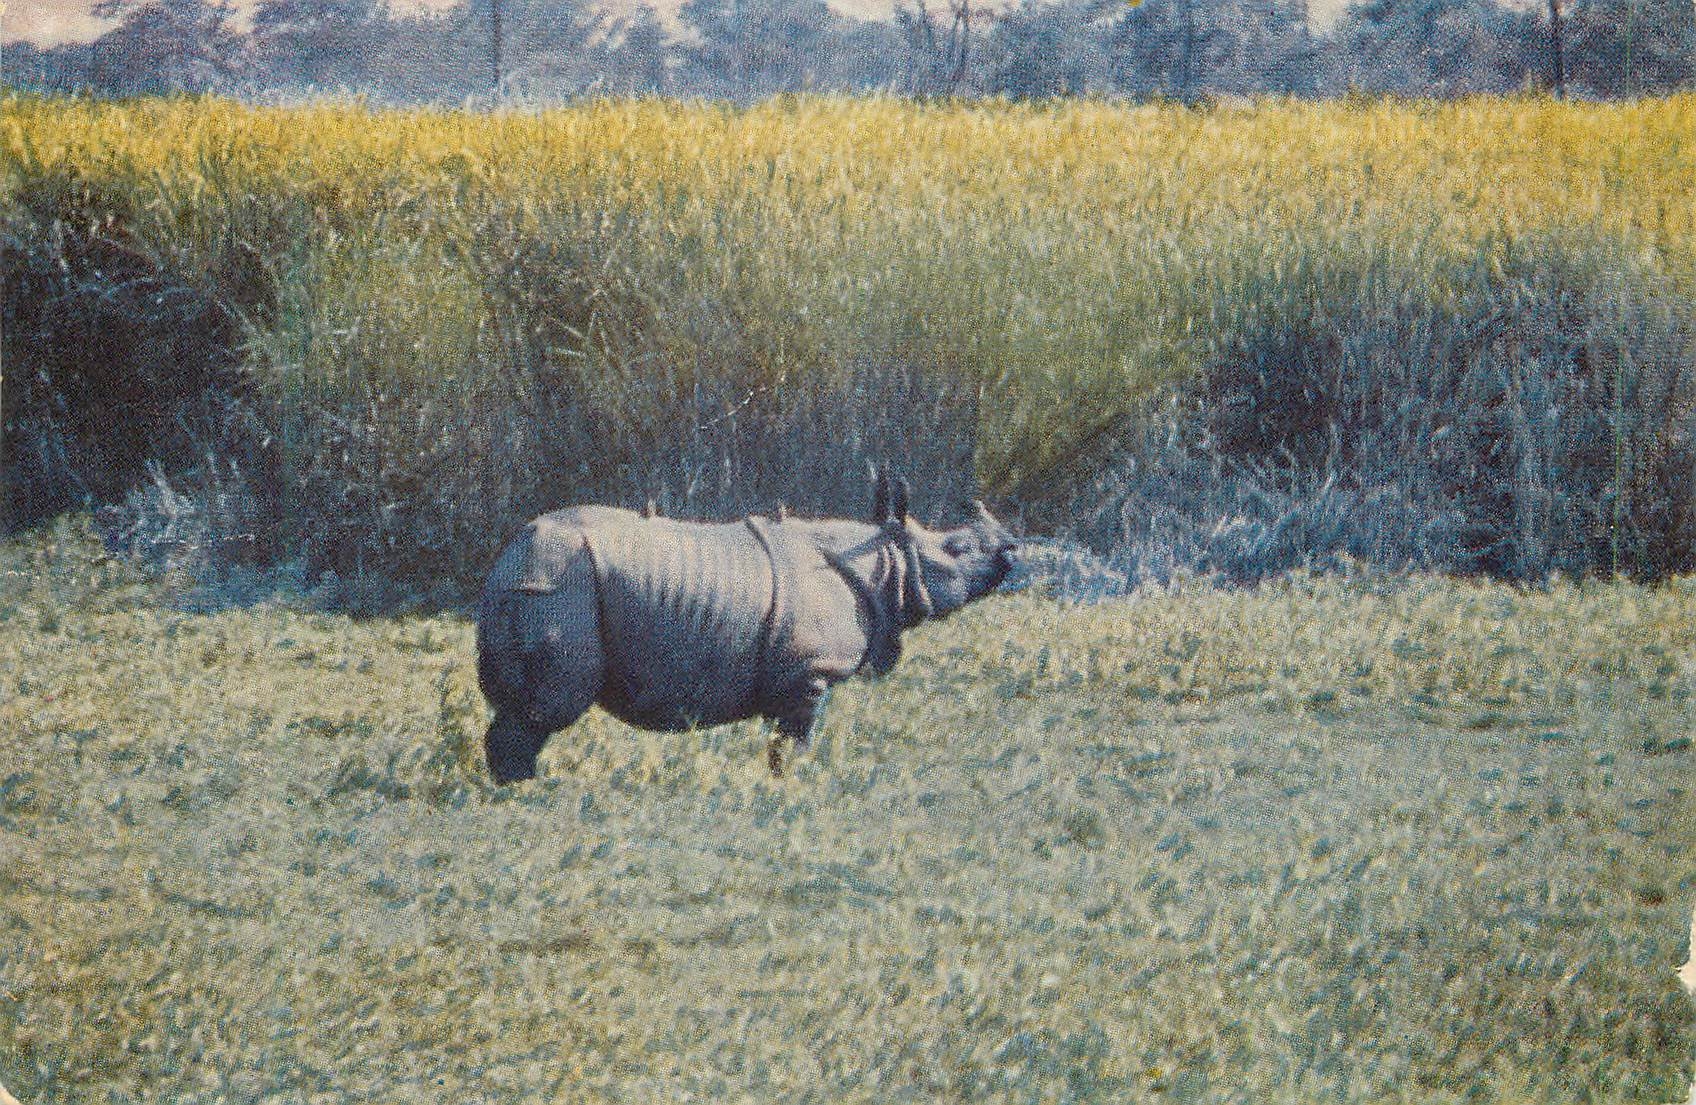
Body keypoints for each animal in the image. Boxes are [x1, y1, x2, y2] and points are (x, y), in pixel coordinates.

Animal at [476, 469, 1018, 782]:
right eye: (958, 549)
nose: (1011, 549)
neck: (885, 559)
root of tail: (511, 557)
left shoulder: (793, 677)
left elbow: (779, 743)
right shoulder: (809, 672)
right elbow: (795, 744)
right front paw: (793, 787)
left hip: (534, 582)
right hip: (561, 586)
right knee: (543, 710)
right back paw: (529, 793)